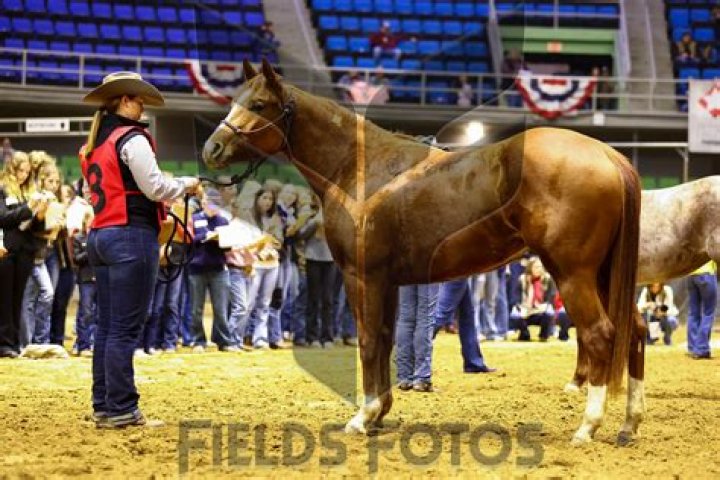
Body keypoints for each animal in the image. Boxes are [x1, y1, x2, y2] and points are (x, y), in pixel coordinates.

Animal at [202, 59, 645, 445]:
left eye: (259, 104)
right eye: (235, 99)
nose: (213, 149)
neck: (361, 169)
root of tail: (608, 156)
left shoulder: (363, 276)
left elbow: (368, 340)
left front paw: (362, 417)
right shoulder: (388, 282)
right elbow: (384, 338)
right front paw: (379, 412)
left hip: (574, 274)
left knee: (600, 335)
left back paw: (587, 427)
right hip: (604, 275)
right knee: (636, 331)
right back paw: (630, 423)